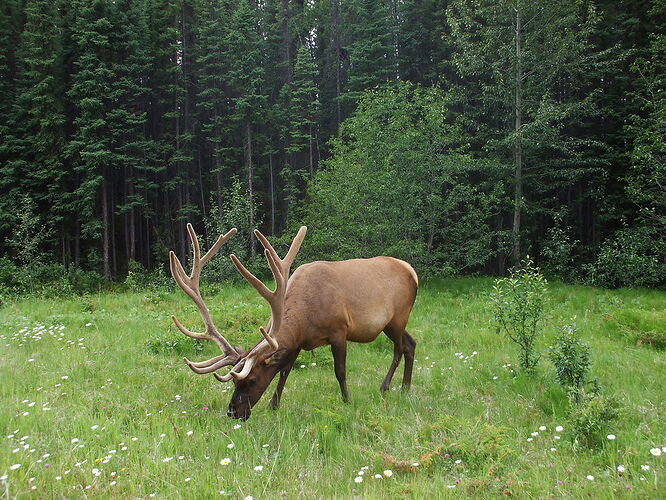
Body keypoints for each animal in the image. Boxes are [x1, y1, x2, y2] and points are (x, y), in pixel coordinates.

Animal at [167, 225, 416, 420]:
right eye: (234, 383)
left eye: (252, 380)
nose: (233, 412)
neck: (305, 319)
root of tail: (411, 270)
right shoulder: (298, 342)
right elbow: (284, 371)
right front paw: (273, 405)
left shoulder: (339, 330)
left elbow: (340, 371)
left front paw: (347, 400)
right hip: (392, 324)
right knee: (411, 343)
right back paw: (404, 387)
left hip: (398, 317)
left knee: (401, 347)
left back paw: (388, 387)